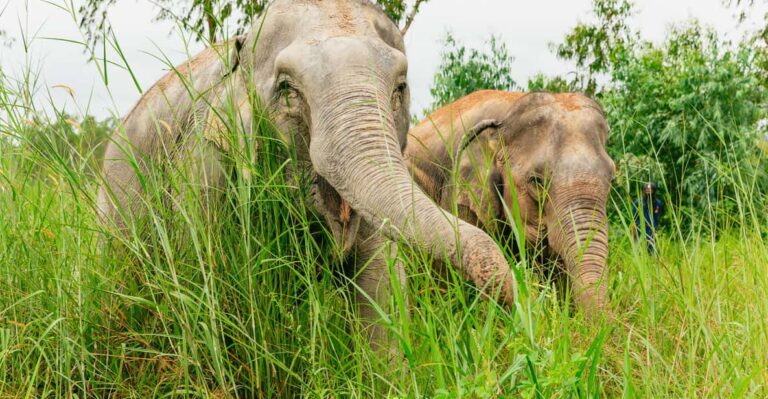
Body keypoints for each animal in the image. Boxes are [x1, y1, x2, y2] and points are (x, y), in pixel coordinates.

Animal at [97, 0, 516, 354]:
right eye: (288, 89)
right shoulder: (203, 162)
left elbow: (380, 289)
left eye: (399, 88)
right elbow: (200, 284)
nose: (504, 296)